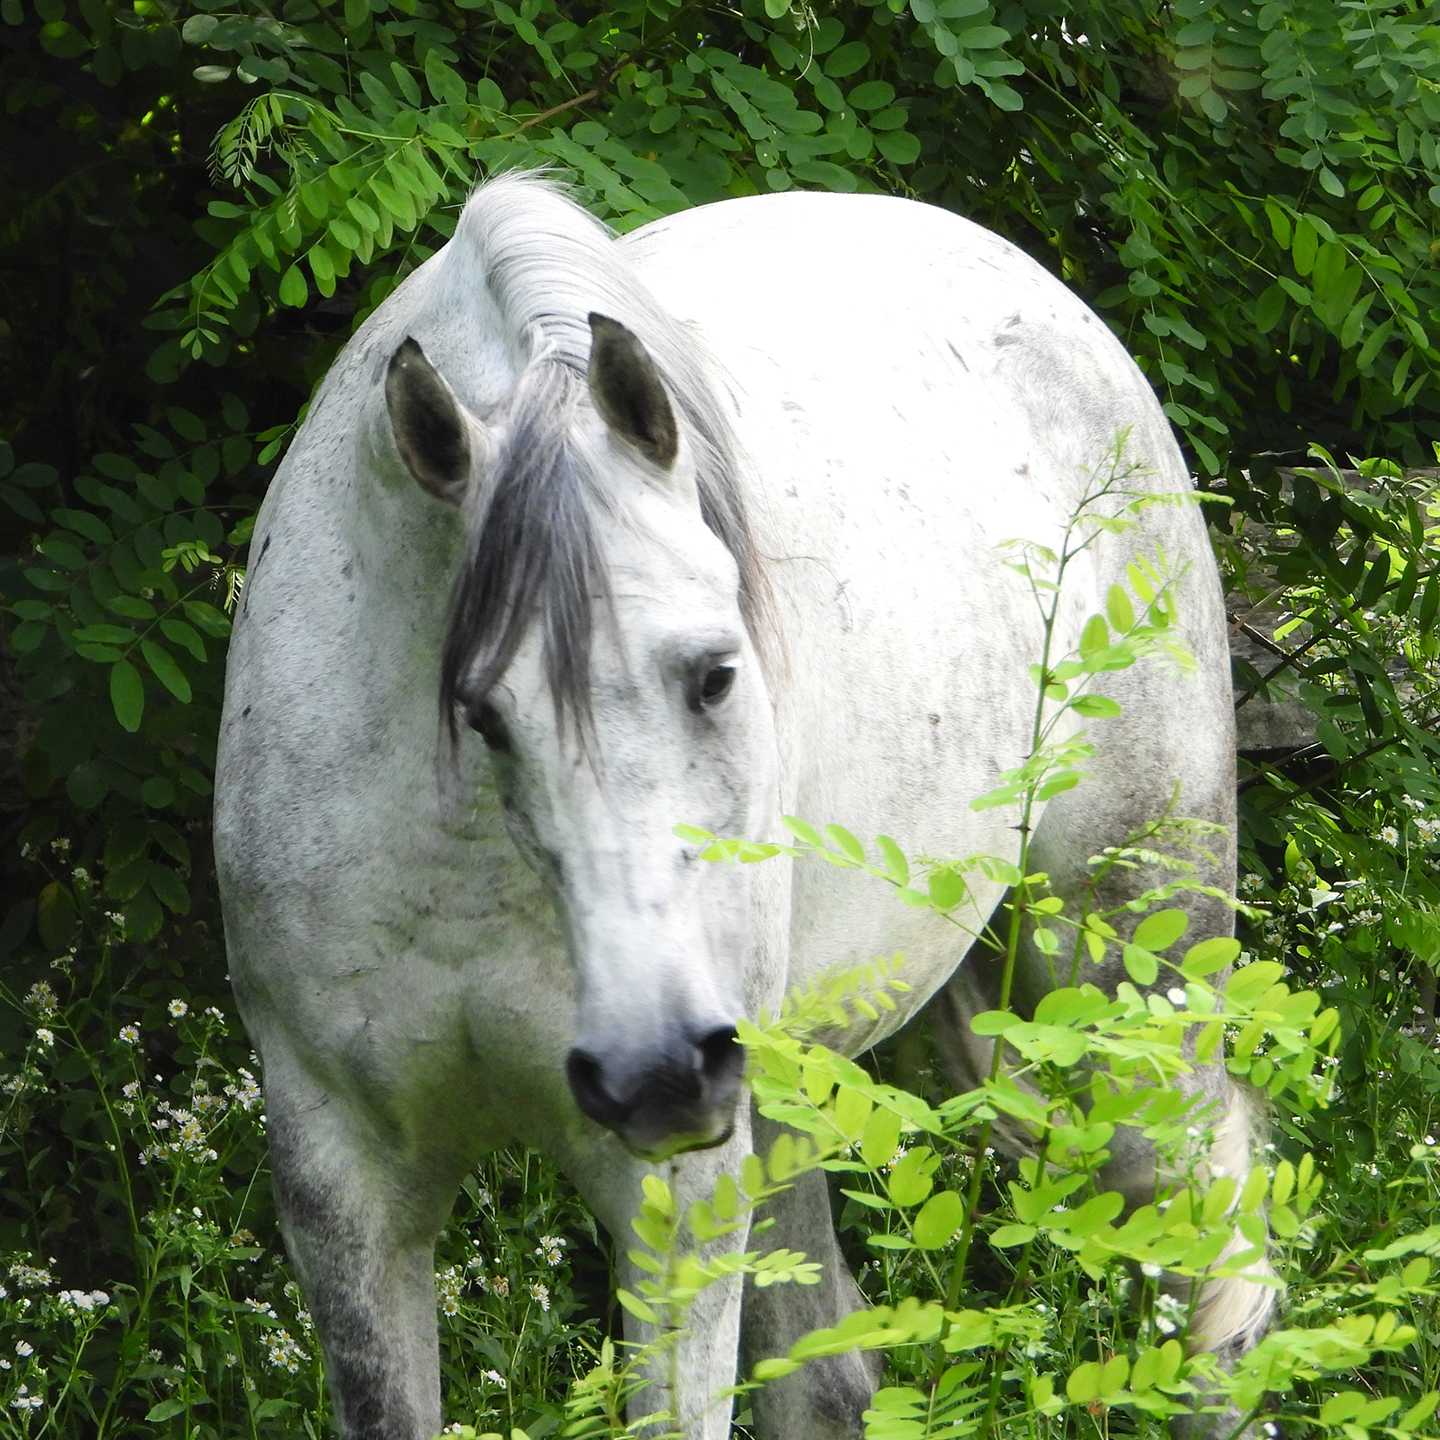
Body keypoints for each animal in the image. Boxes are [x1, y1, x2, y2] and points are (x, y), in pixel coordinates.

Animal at [213, 171, 1272, 1439]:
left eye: (717, 673)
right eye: (483, 714)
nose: (656, 1069)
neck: (463, 870)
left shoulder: (671, 1196)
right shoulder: (343, 1178)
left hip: (1122, 981)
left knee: (1211, 1268)